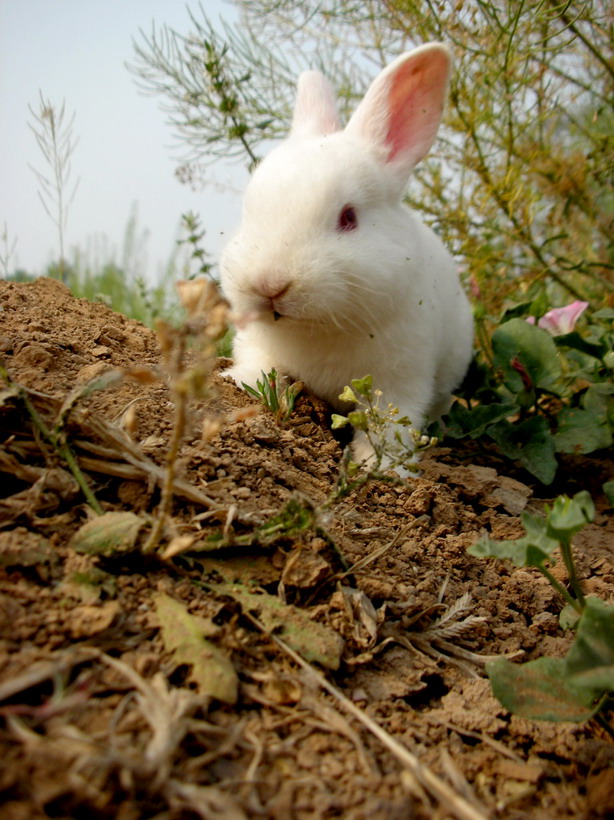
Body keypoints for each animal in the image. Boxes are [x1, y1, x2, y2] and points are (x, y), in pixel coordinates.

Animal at [221, 41, 476, 470]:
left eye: (348, 218)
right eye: (250, 209)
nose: (269, 283)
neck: (317, 327)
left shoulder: (400, 382)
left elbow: (389, 427)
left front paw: (381, 468)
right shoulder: (258, 343)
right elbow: (260, 367)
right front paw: (235, 381)